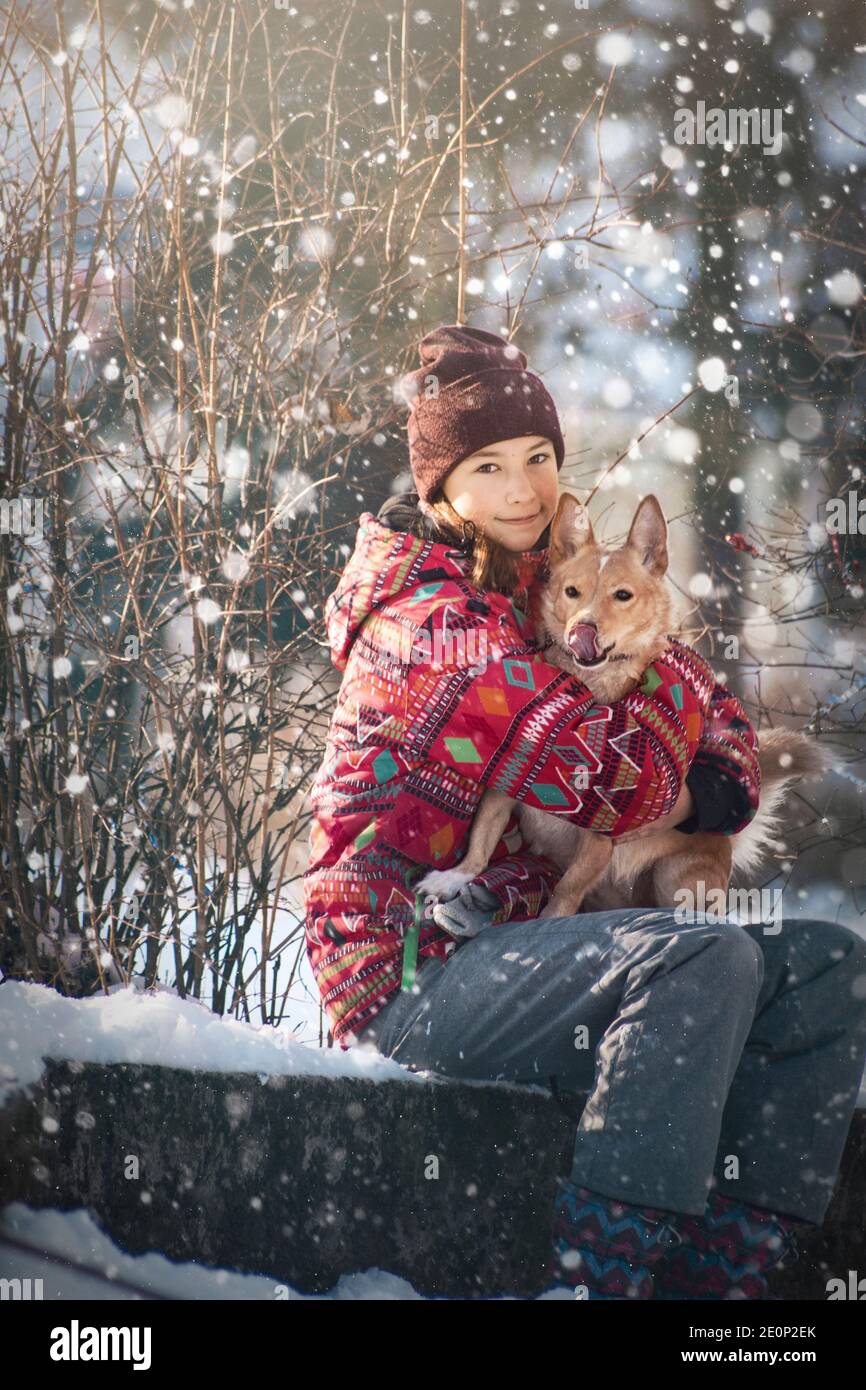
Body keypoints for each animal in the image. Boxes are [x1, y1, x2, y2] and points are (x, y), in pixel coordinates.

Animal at [419, 494, 834, 917]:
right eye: (572, 591)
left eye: (622, 595)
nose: (582, 629)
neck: (591, 681)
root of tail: (725, 841)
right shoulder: (503, 788)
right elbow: (482, 840)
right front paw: (454, 877)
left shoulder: (601, 837)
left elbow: (565, 892)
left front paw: (549, 916)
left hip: (675, 877)